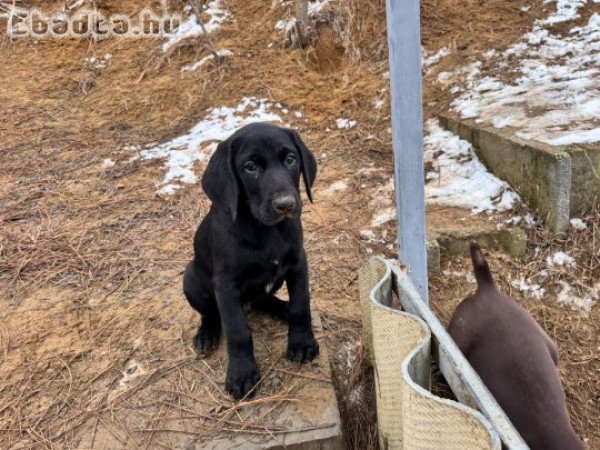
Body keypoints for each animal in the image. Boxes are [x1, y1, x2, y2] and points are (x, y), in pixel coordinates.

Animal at [183, 121, 322, 400]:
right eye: (250, 167)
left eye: (290, 159)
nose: (285, 205)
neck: (265, 230)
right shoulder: (225, 285)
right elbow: (237, 332)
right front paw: (242, 373)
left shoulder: (299, 263)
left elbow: (301, 305)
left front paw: (302, 342)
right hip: (190, 276)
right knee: (210, 313)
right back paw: (206, 334)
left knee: (265, 300)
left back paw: (283, 309)